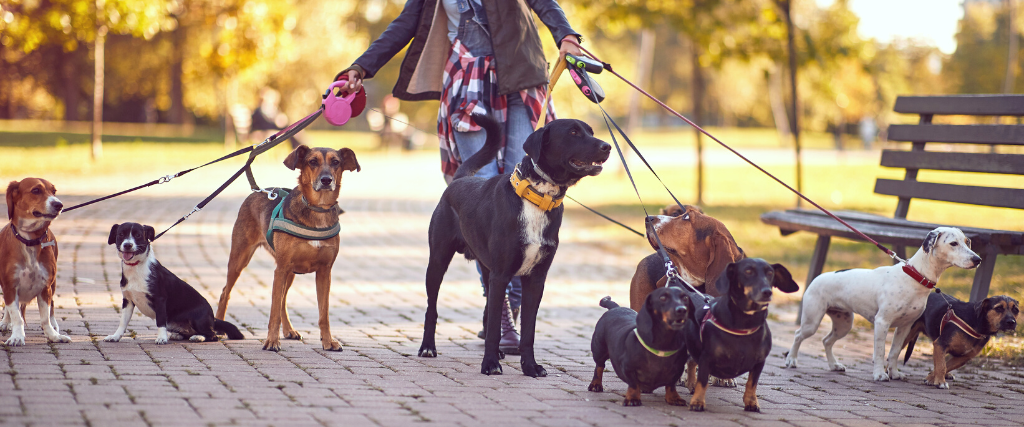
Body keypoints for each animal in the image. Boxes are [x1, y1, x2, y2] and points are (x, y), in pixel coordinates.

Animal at [215, 144, 360, 350]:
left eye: (336, 162)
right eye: (312, 161)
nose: (326, 180)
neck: (318, 209)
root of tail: (258, 190)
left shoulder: (324, 272)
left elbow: (323, 314)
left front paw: (328, 341)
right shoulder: (281, 269)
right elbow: (273, 312)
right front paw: (271, 341)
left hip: (290, 272)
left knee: (282, 300)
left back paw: (289, 330)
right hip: (240, 259)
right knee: (225, 292)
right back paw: (219, 327)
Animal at [419, 114, 610, 376]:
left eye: (590, 131)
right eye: (573, 133)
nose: (607, 146)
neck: (538, 198)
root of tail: (460, 179)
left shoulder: (535, 279)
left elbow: (528, 331)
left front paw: (530, 366)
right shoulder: (501, 275)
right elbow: (492, 331)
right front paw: (490, 364)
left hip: (486, 270)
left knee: (490, 308)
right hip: (438, 261)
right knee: (432, 308)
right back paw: (428, 347)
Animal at [684, 255, 794, 409]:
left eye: (770, 273)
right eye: (748, 271)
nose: (767, 292)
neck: (745, 324)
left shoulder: (759, 362)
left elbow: (752, 383)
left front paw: (752, 403)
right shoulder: (706, 358)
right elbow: (703, 381)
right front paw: (697, 402)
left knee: (691, 361)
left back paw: (691, 384)